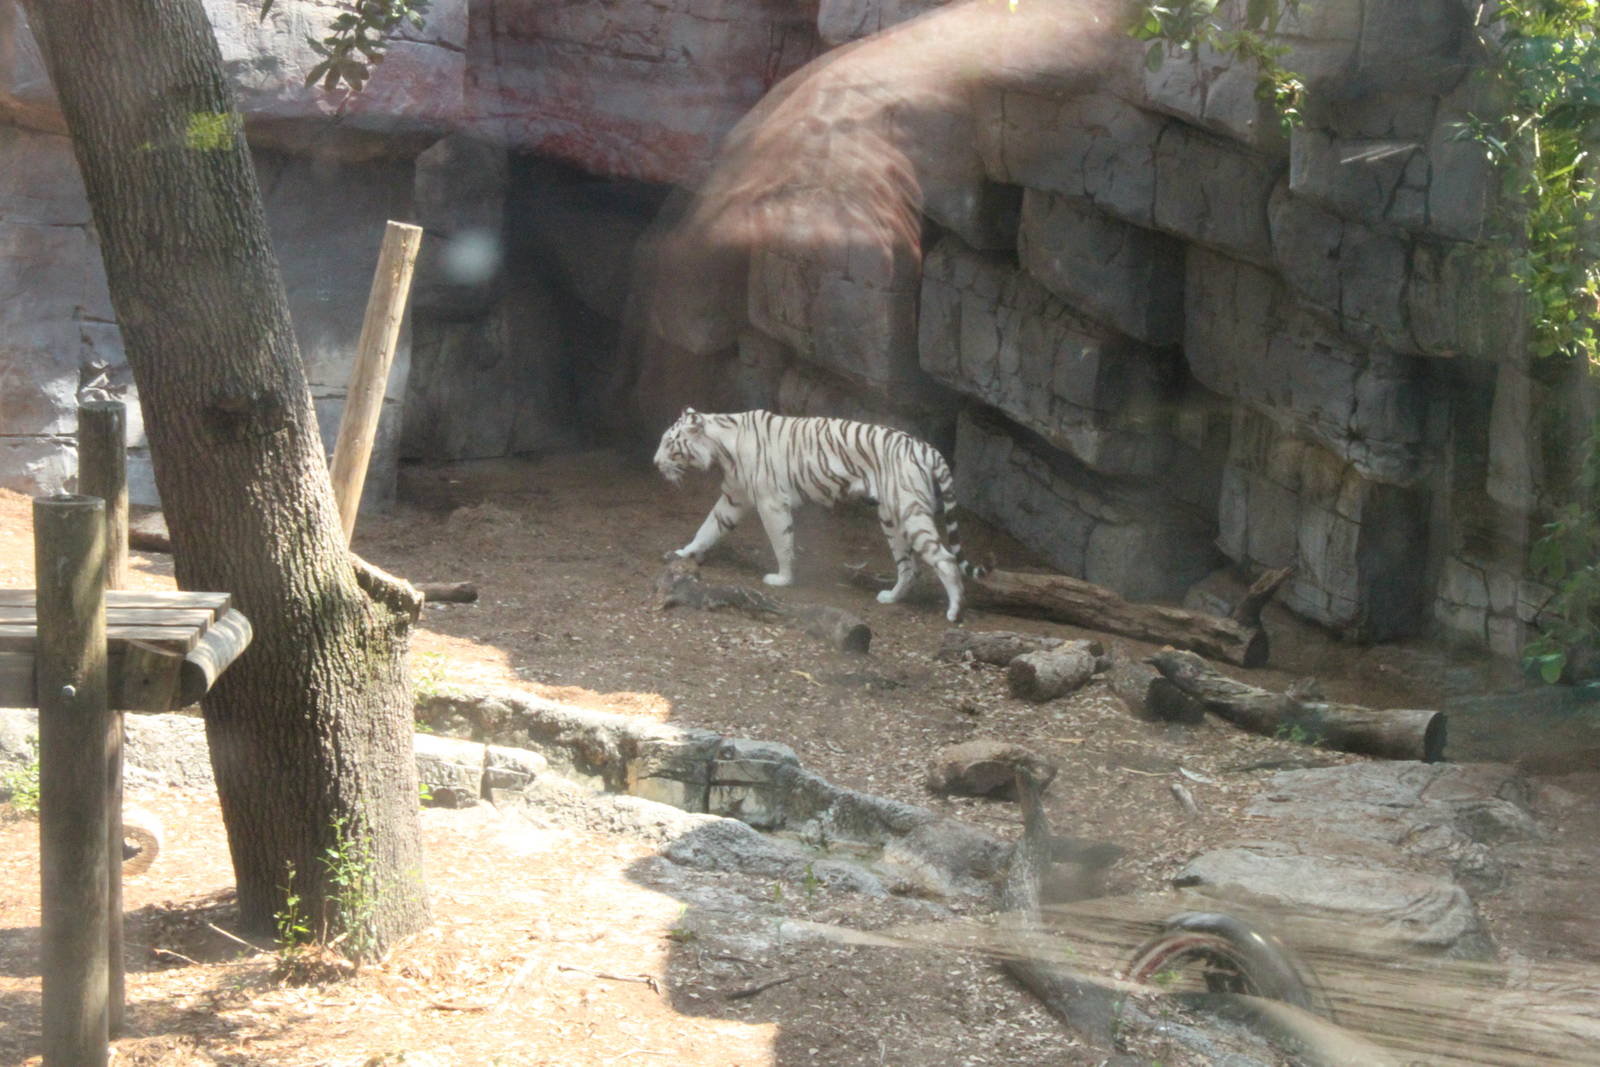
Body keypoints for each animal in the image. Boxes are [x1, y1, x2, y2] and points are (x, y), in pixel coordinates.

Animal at [653, 408, 987, 622]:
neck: (723, 446)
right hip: (892, 518)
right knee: (910, 567)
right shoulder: (734, 497)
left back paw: (954, 611)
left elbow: (782, 542)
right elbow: (708, 528)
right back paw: (891, 598)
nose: (655, 463)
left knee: (945, 558)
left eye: (670, 443)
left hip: (910, 511)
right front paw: (684, 552)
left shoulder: (771, 502)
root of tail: (927, 448)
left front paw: (782, 579)